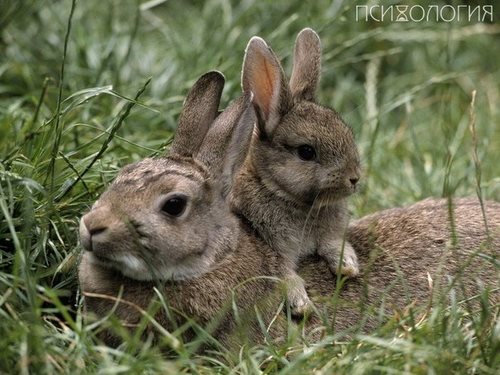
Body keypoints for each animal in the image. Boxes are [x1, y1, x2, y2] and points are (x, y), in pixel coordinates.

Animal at [229, 28, 362, 318]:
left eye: (348, 134)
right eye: (306, 152)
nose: (354, 178)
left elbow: (332, 243)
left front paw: (348, 265)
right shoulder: (272, 247)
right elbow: (284, 273)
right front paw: (301, 304)